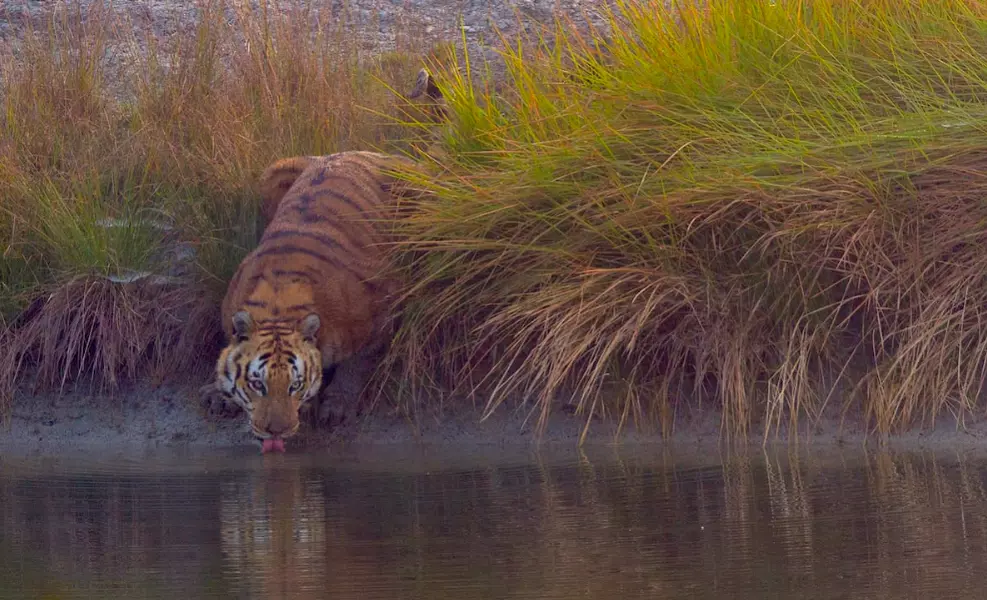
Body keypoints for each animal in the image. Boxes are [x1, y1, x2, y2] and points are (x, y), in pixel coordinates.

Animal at [201, 151, 416, 454]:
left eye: (295, 385)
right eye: (257, 385)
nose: (274, 431)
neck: (278, 306)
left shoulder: (386, 306)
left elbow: (358, 362)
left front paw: (336, 406)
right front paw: (217, 394)